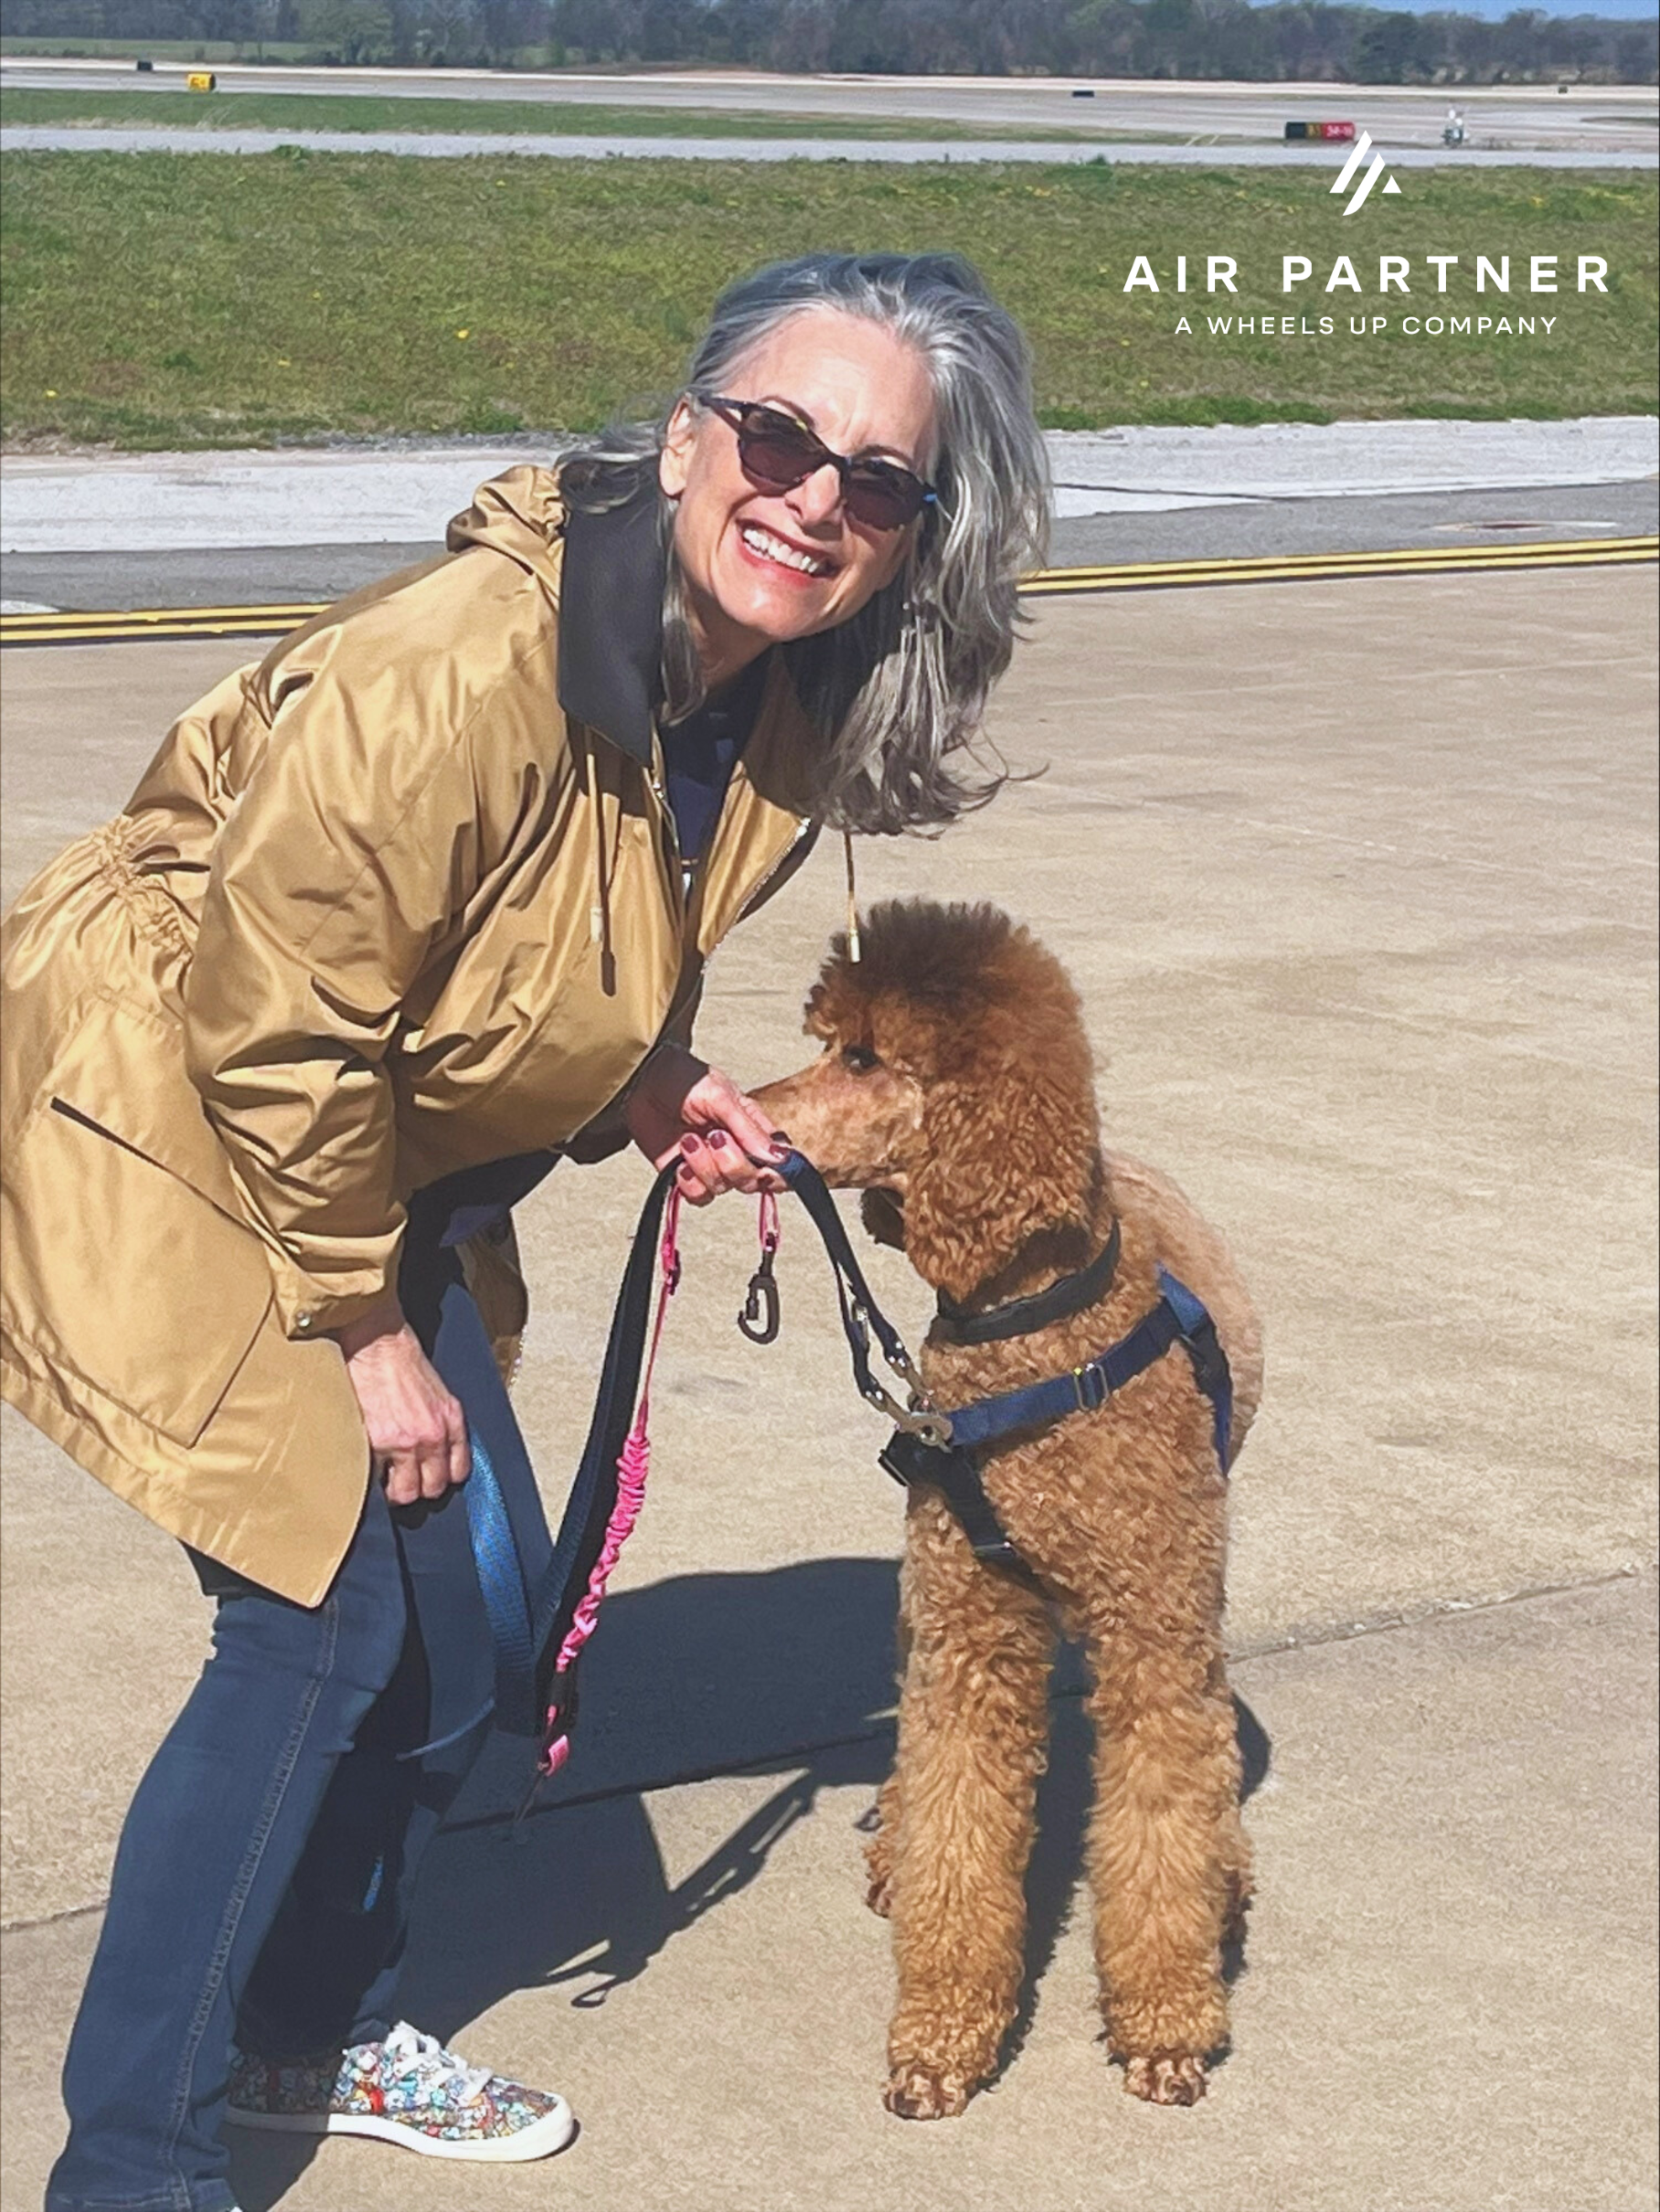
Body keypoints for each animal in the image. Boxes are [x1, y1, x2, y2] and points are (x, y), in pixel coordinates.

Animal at [754, 899, 1263, 2116]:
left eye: (863, 1057)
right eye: (830, 1039)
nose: (749, 1112)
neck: (1039, 1327)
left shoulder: (1158, 1638)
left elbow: (1167, 1817)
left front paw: (1164, 2023)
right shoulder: (969, 1626)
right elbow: (958, 1818)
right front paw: (942, 2036)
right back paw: (891, 1848)